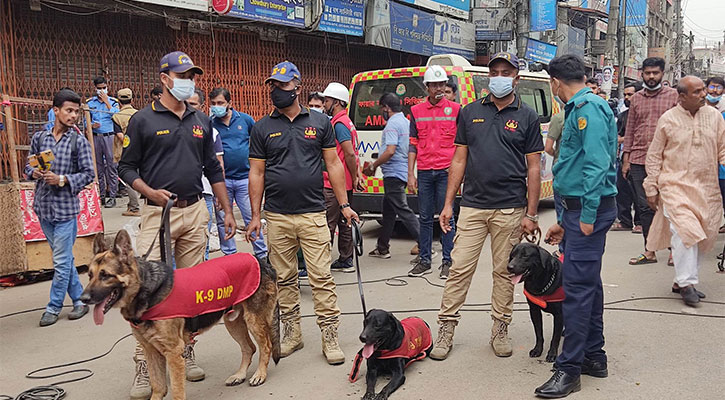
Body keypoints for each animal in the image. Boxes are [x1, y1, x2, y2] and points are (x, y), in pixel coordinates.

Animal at [80, 231, 280, 400]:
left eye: (105, 275)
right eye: (89, 275)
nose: (83, 298)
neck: (147, 289)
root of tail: (260, 261)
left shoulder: (173, 353)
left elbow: (176, 391)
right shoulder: (151, 351)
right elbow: (158, 386)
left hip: (253, 321)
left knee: (266, 347)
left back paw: (260, 374)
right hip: (233, 322)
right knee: (249, 348)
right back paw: (239, 375)